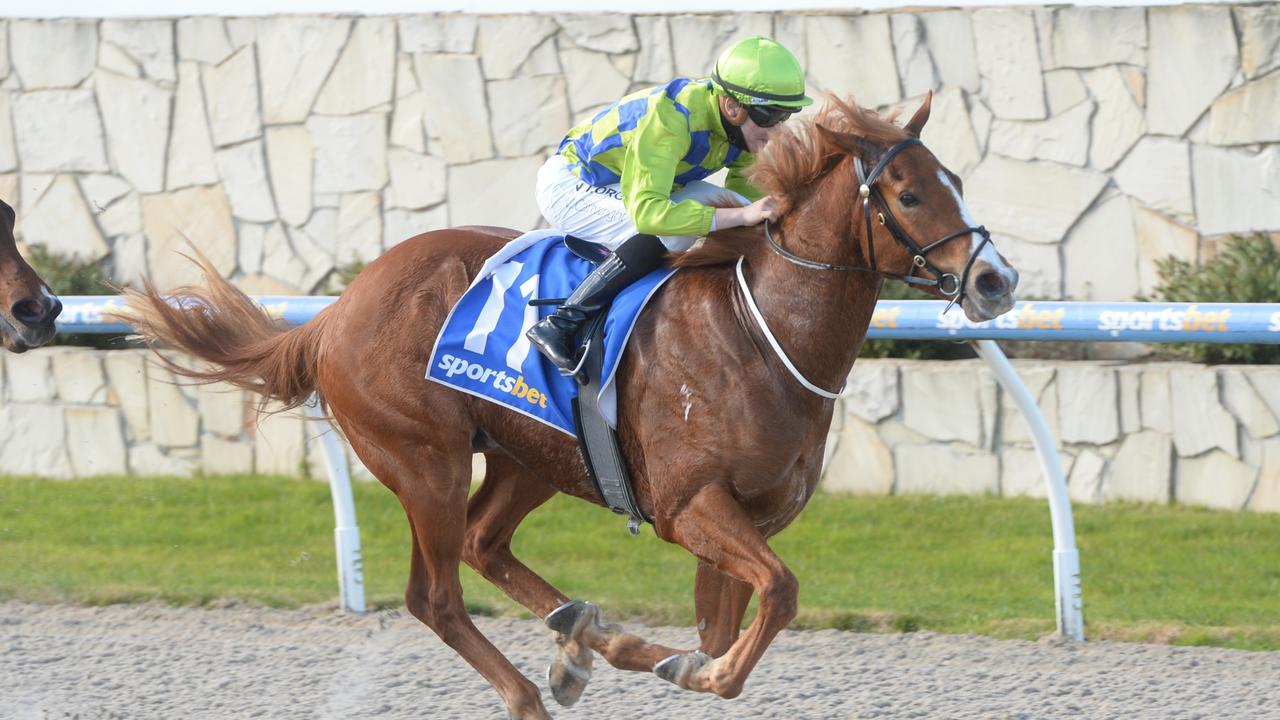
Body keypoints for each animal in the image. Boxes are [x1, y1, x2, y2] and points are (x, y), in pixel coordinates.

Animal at [122, 96, 1018, 717]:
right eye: (907, 195)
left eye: (956, 182)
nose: (994, 280)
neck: (760, 334)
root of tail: (336, 312)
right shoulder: (691, 507)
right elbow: (776, 600)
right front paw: (678, 663)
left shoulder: (748, 518)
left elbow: (726, 632)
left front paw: (646, 653)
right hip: (424, 460)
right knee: (434, 594)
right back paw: (527, 689)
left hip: (534, 454)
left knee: (484, 544)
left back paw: (578, 636)